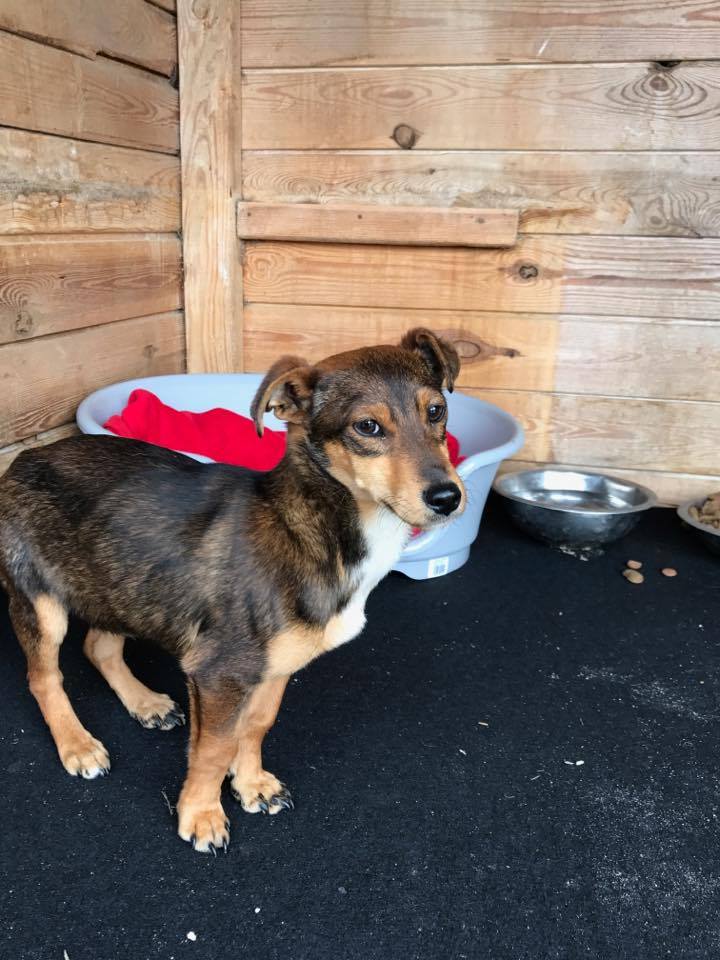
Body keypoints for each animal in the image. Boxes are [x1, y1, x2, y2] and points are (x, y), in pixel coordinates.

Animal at [0, 328, 465, 852]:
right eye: (367, 427)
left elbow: (257, 724)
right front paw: (202, 815)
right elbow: (214, 747)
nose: (447, 498)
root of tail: (26, 456)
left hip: (123, 584)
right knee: (43, 677)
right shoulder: (218, 672)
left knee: (98, 645)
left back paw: (145, 703)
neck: (313, 527)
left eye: (436, 411)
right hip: (41, 601)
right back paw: (77, 744)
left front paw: (252, 784)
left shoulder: (275, 664)